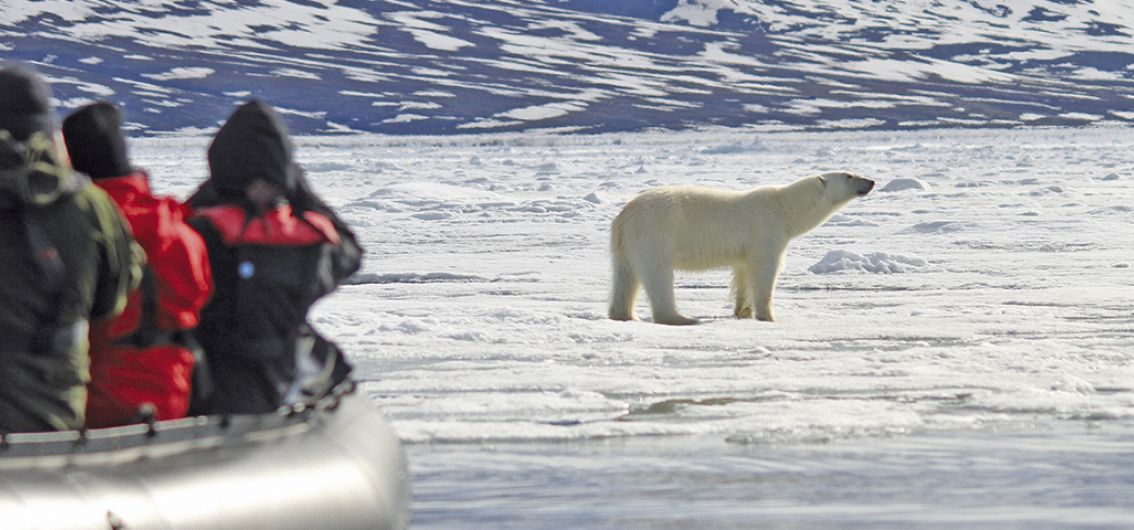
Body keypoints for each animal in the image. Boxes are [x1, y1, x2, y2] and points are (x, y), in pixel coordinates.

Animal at [607, 172, 870, 326]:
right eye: (849, 175)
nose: (871, 181)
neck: (784, 208)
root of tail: (623, 217)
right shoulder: (766, 231)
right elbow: (765, 272)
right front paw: (768, 316)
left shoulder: (746, 249)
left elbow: (744, 274)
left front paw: (743, 311)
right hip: (655, 233)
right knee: (658, 275)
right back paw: (681, 318)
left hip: (626, 244)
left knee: (625, 276)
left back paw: (624, 315)